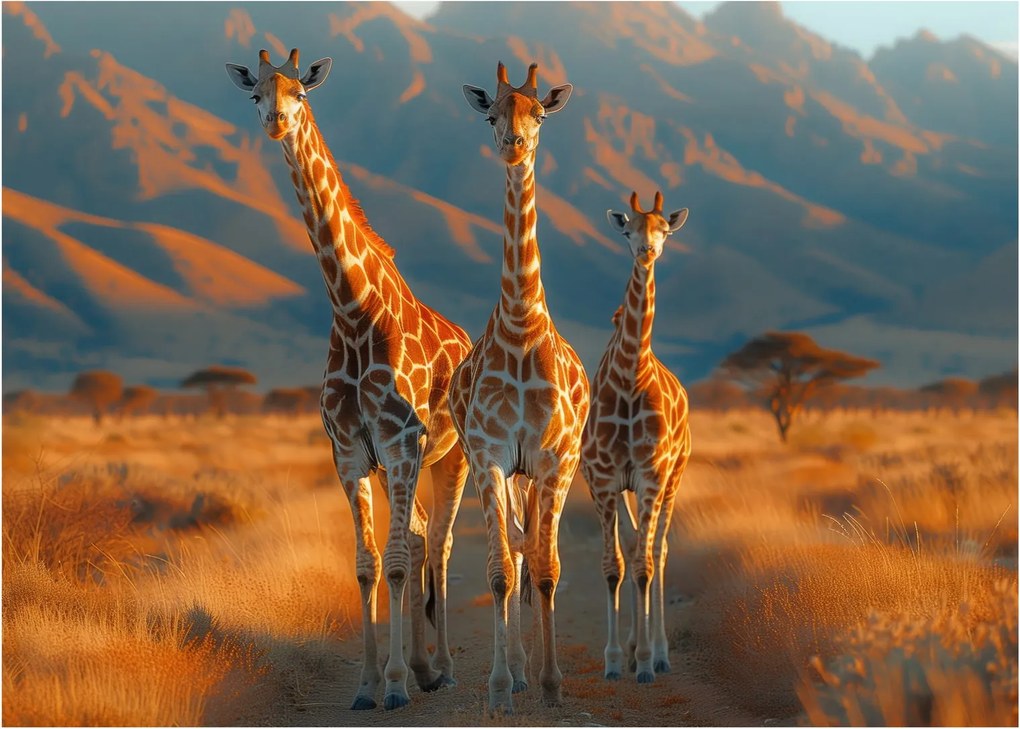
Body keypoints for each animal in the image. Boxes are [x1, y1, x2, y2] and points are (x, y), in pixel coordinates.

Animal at [225, 48, 472, 711]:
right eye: (255, 94)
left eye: (301, 93)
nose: (277, 121)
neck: (354, 312)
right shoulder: (351, 452)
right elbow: (367, 563)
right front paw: (368, 685)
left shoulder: (401, 443)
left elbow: (396, 560)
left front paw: (395, 685)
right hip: (399, 465)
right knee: (420, 537)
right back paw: (424, 666)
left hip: (453, 456)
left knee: (438, 543)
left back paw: (441, 668)